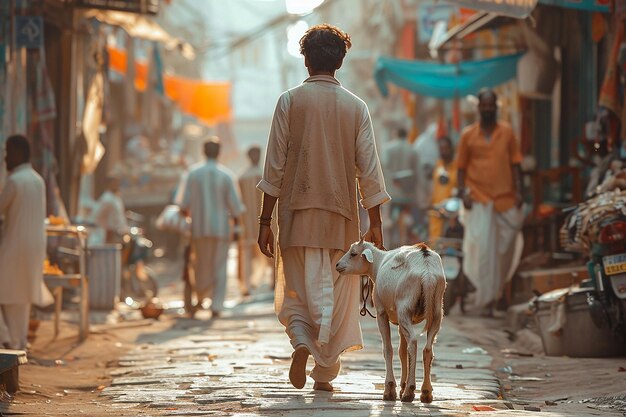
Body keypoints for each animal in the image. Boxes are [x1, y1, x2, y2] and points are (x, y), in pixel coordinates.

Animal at [336, 239, 444, 402]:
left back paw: (410, 391)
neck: (378, 263)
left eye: (353, 253)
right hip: (437, 311)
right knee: (427, 349)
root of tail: (427, 270)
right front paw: (401, 387)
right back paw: (426, 392)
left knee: (413, 343)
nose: (337, 265)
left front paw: (390, 390)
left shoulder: (381, 313)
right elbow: (401, 352)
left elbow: (388, 349)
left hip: (405, 309)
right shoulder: (402, 322)